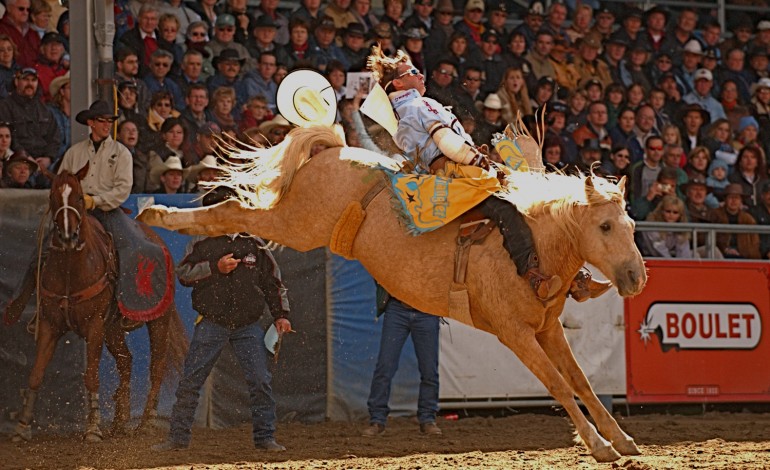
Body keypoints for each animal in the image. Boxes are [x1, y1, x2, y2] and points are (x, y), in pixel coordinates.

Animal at [11, 163, 188, 442]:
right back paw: (120, 421)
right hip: (113, 329)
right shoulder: (50, 325)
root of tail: (160, 243)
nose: (68, 236)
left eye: (79, 198)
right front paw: (22, 426)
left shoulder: (94, 326)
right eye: (51, 197)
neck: (71, 270)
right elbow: (36, 374)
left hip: (158, 320)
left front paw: (93, 428)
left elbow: (92, 376)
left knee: (157, 365)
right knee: (126, 361)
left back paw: (146, 422)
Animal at [140, 125, 648, 462]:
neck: (531, 245)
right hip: (295, 224)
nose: (634, 277)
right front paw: (600, 445)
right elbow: (559, 385)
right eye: (604, 226)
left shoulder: (547, 330)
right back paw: (157, 215)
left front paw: (622, 439)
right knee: (230, 210)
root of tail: (332, 150)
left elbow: (580, 381)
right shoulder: (515, 334)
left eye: (630, 224)